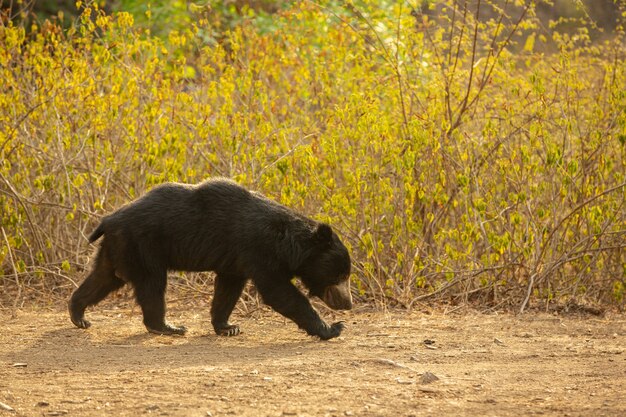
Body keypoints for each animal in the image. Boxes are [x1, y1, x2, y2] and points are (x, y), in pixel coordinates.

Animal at [69, 178, 352, 338]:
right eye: (340, 275)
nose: (347, 304)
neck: (286, 243)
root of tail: (108, 219)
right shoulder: (259, 251)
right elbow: (279, 292)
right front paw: (332, 328)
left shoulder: (235, 261)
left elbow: (228, 289)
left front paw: (228, 327)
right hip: (143, 246)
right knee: (152, 284)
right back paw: (168, 327)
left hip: (118, 248)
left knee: (103, 278)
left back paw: (79, 315)